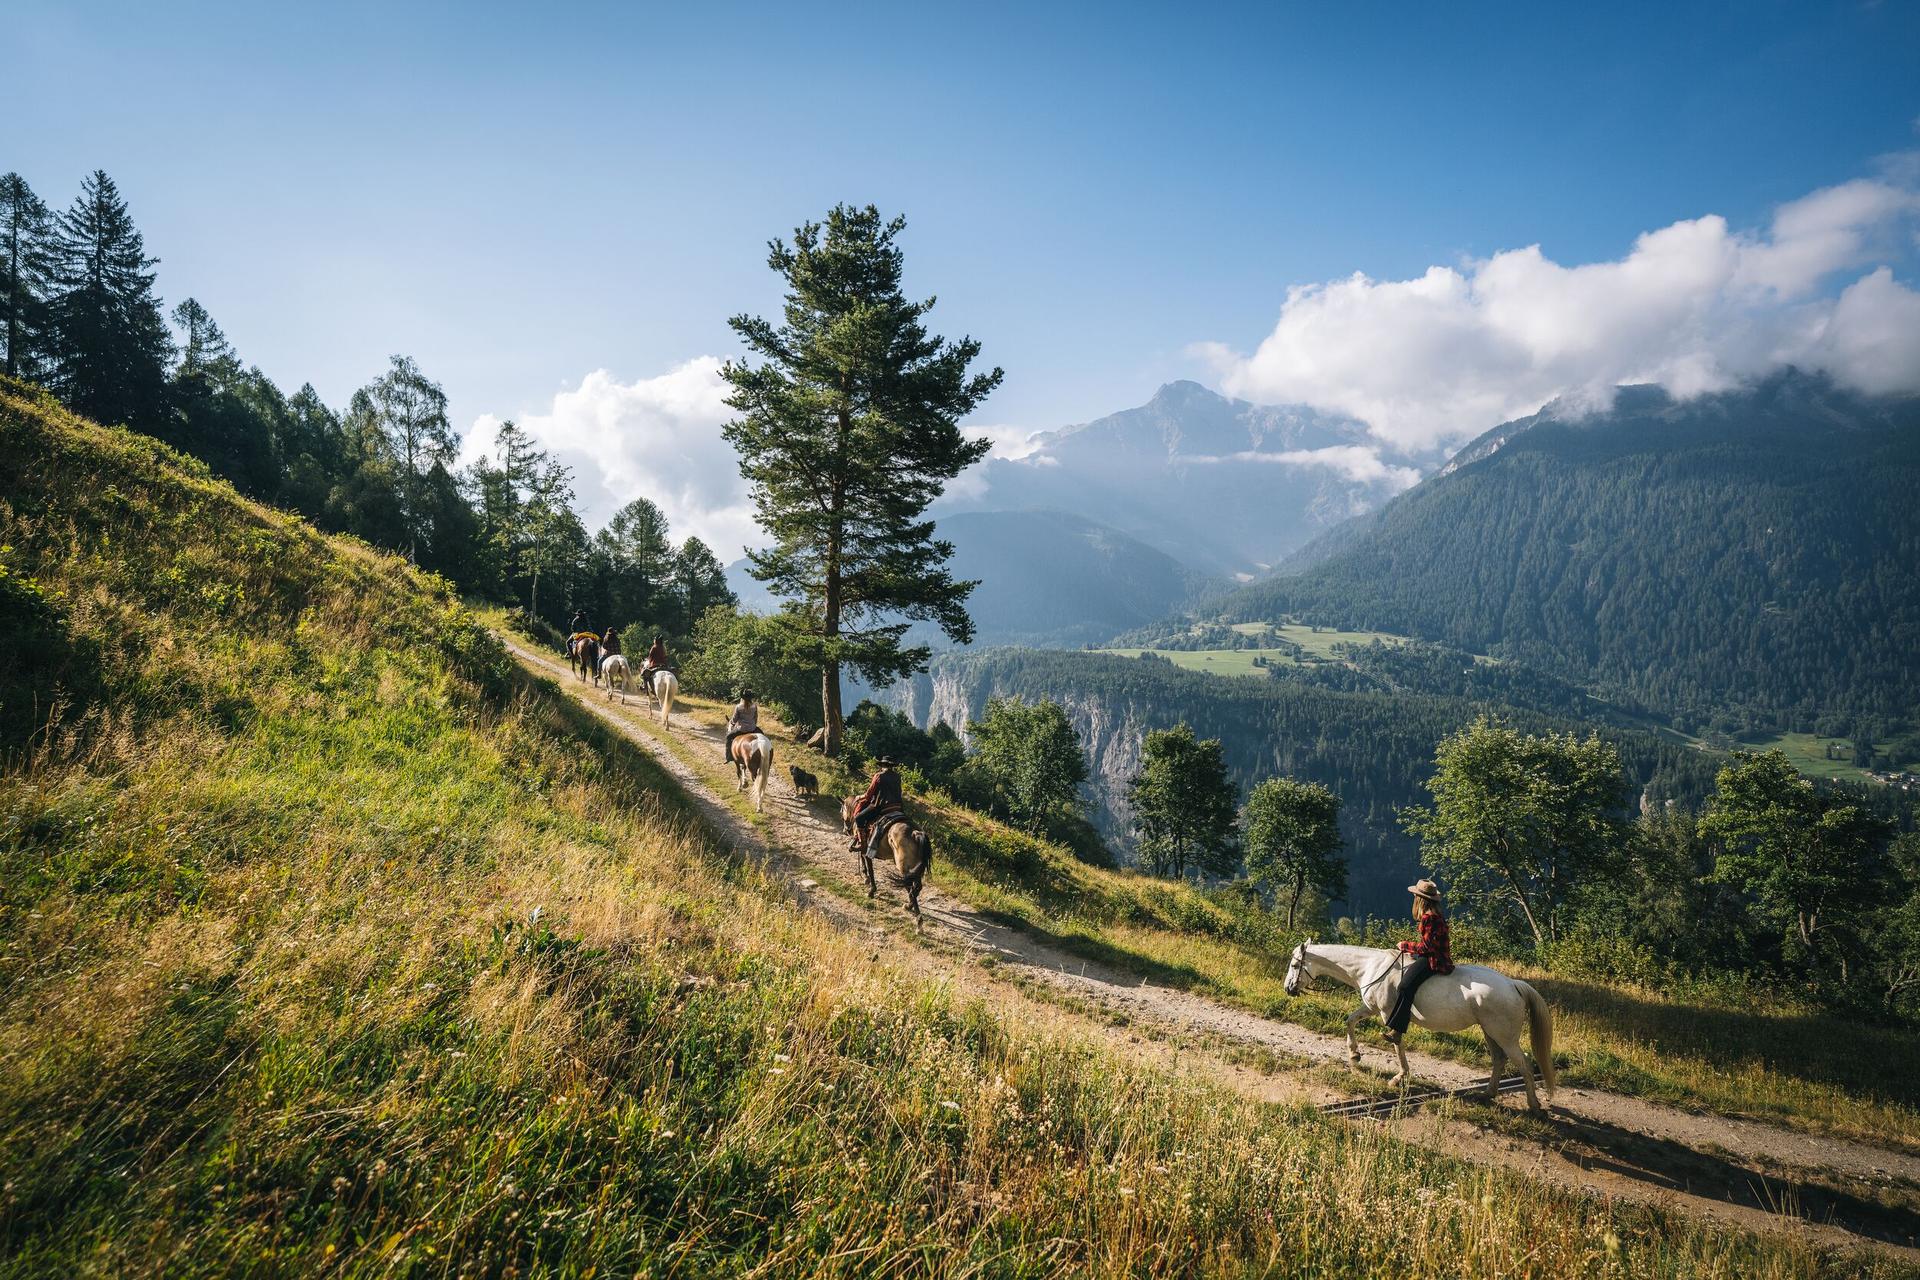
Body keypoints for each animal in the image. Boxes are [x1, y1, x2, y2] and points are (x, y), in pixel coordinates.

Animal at [1282, 940, 1551, 1113]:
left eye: (1295, 966)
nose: (1288, 988)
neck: (1371, 967)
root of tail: (1513, 984)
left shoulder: (1387, 1013)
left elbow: (1396, 1042)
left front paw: (1399, 1077)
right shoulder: (1370, 1008)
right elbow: (1350, 1020)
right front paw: (1354, 1054)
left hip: (1504, 1035)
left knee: (1524, 1063)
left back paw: (1534, 1106)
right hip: (1490, 1032)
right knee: (1499, 1059)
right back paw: (1488, 1093)